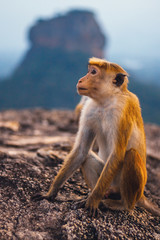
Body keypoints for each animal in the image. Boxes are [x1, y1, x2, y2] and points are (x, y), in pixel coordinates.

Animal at [31, 57, 159, 217]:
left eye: (93, 72)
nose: (80, 79)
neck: (106, 100)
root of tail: (141, 195)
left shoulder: (122, 111)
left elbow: (117, 154)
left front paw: (93, 201)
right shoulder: (89, 109)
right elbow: (81, 150)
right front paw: (50, 193)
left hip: (128, 186)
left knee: (131, 155)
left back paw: (121, 205)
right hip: (109, 181)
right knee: (87, 158)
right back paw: (101, 195)